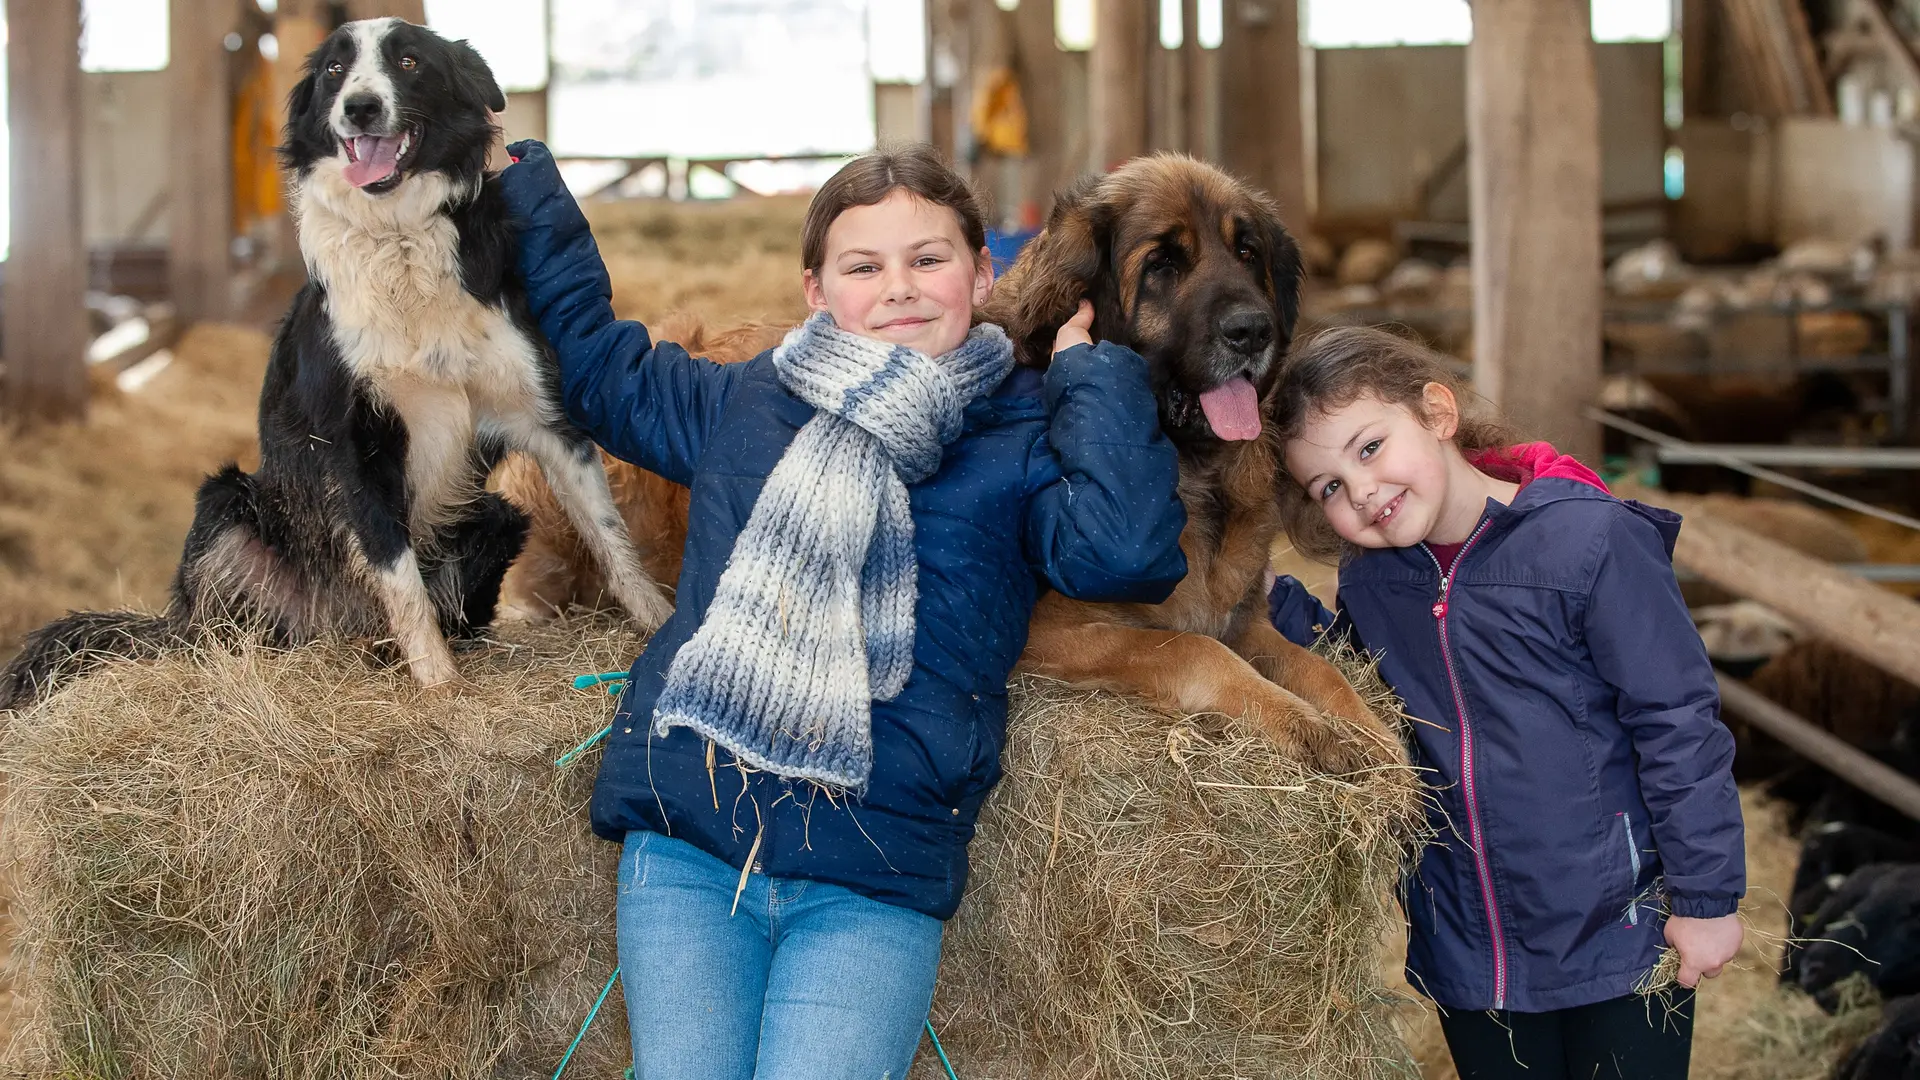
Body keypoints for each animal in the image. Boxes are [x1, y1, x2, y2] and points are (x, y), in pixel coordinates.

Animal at [0, 18, 672, 707]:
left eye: (409, 62)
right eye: (333, 71)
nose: (361, 108)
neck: (398, 237)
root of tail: (335, 627)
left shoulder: (544, 416)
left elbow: (612, 538)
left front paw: (657, 624)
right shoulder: (351, 444)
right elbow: (397, 571)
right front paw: (438, 687)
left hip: (497, 515)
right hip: (226, 504)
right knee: (216, 632)